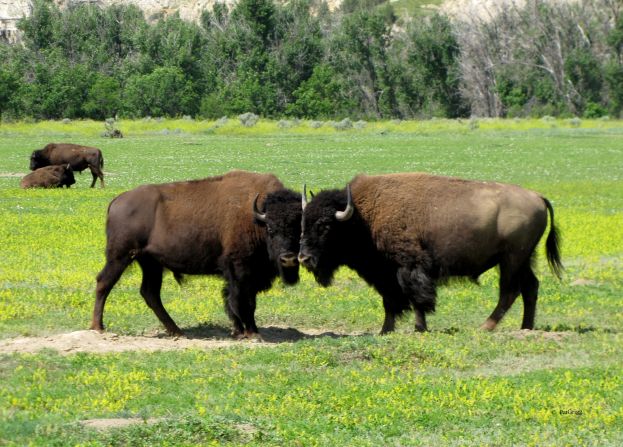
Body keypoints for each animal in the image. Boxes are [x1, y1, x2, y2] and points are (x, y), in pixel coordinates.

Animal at [92, 171, 304, 340]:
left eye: (299, 228)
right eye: (271, 229)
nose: (288, 258)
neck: (256, 219)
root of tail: (117, 201)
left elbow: (231, 300)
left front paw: (238, 331)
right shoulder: (242, 270)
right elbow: (244, 301)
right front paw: (253, 333)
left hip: (151, 263)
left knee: (150, 293)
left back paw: (177, 331)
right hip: (120, 257)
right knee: (104, 282)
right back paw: (98, 328)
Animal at [298, 173, 564, 334]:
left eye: (324, 226)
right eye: (303, 223)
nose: (303, 258)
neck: (361, 217)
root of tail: (538, 197)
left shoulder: (409, 267)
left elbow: (416, 298)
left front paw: (419, 328)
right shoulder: (385, 275)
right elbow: (390, 302)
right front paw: (386, 330)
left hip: (511, 260)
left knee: (510, 291)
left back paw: (485, 327)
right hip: (523, 259)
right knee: (530, 287)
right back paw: (526, 327)